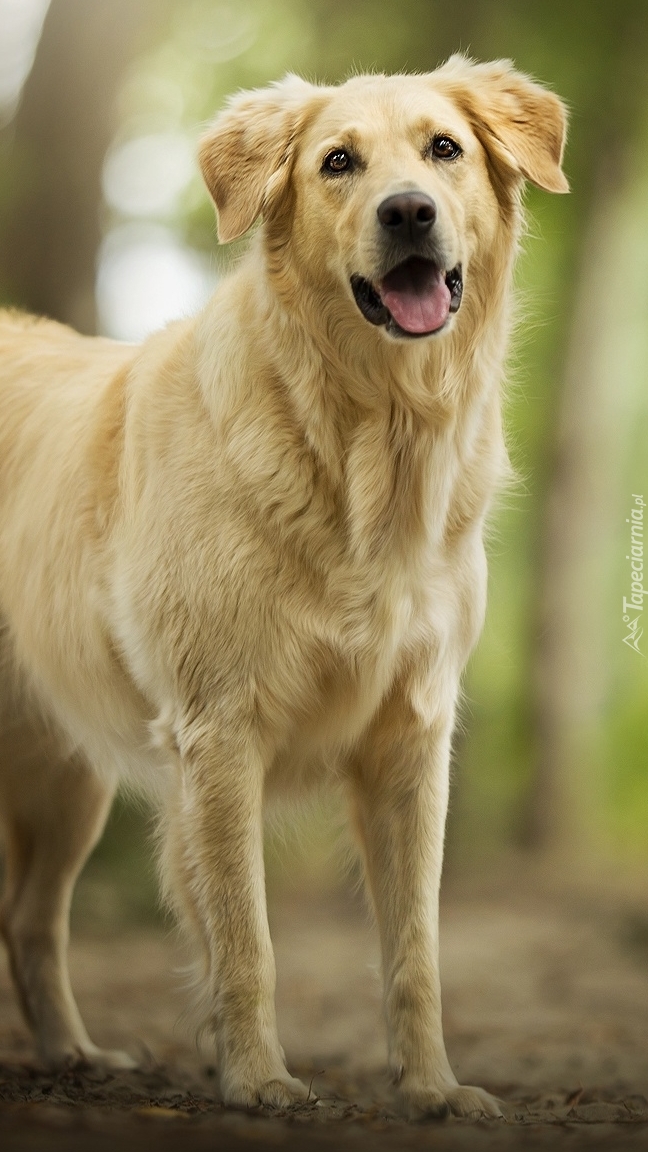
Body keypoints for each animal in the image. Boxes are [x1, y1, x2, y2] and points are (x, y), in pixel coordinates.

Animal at [0, 58, 564, 1119]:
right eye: (337, 162)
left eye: (444, 149)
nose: (409, 212)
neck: (364, 439)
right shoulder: (219, 731)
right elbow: (245, 939)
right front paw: (258, 1079)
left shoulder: (410, 739)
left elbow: (416, 949)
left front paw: (432, 1089)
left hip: (67, 775)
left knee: (30, 919)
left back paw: (74, 1056)